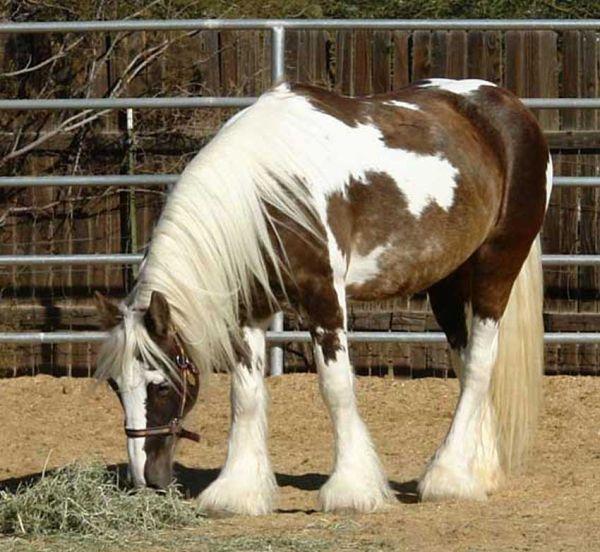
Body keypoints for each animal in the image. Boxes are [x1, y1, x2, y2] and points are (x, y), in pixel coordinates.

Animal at [95, 78, 552, 516]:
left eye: (160, 386)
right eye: (115, 386)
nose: (147, 479)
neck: (269, 194)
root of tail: (509, 106)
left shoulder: (325, 298)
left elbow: (335, 387)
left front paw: (352, 490)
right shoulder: (248, 310)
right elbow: (245, 395)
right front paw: (238, 493)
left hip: (497, 267)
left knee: (479, 364)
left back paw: (448, 477)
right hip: (447, 282)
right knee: (465, 362)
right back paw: (480, 471)